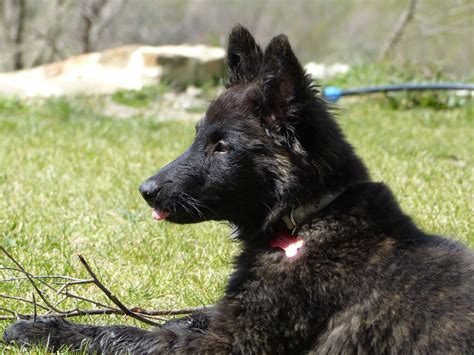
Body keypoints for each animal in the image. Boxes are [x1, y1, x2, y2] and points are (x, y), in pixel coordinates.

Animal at [4, 25, 474, 355]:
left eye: (222, 146)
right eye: (198, 135)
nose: (145, 190)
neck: (305, 218)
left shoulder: (227, 344)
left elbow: (127, 333)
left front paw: (45, 330)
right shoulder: (225, 316)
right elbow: (187, 317)